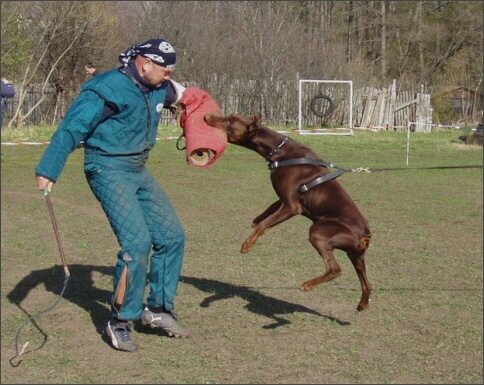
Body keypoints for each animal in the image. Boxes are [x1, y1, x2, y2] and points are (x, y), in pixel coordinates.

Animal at [202, 112, 372, 310]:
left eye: (230, 121)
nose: (206, 116)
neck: (277, 150)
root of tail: (365, 234)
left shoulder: (292, 206)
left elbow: (264, 224)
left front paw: (247, 244)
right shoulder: (284, 199)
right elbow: (265, 216)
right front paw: (254, 223)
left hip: (319, 232)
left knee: (335, 269)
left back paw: (308, 285)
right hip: (356, 255)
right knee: (367, 284)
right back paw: (362, 304)